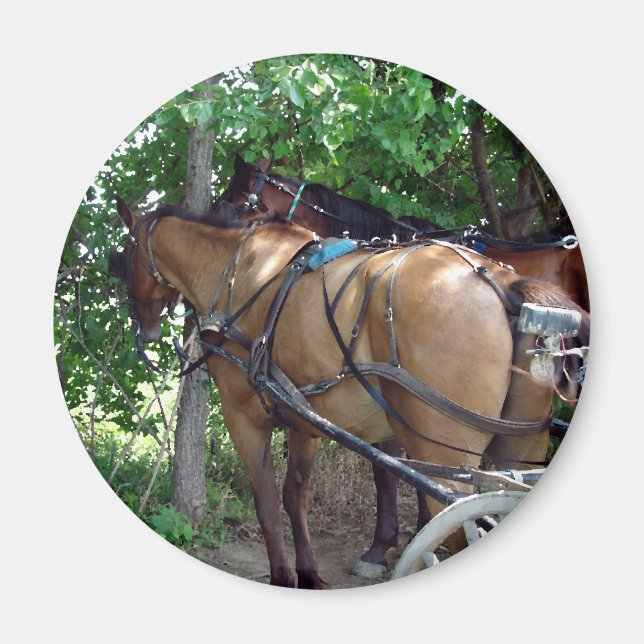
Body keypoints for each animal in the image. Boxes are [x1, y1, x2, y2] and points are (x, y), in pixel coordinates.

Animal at [109, 196, 588, 588]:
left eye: (125, 255)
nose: (144, 329)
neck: (241, 269)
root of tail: (502, 283)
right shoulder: (302, 417)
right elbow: (295, 497)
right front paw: (309, 573)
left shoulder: (243, 415)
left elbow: (267, 503)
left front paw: (284, 577)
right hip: (519, 448)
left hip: (446, 455)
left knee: (453, 527)